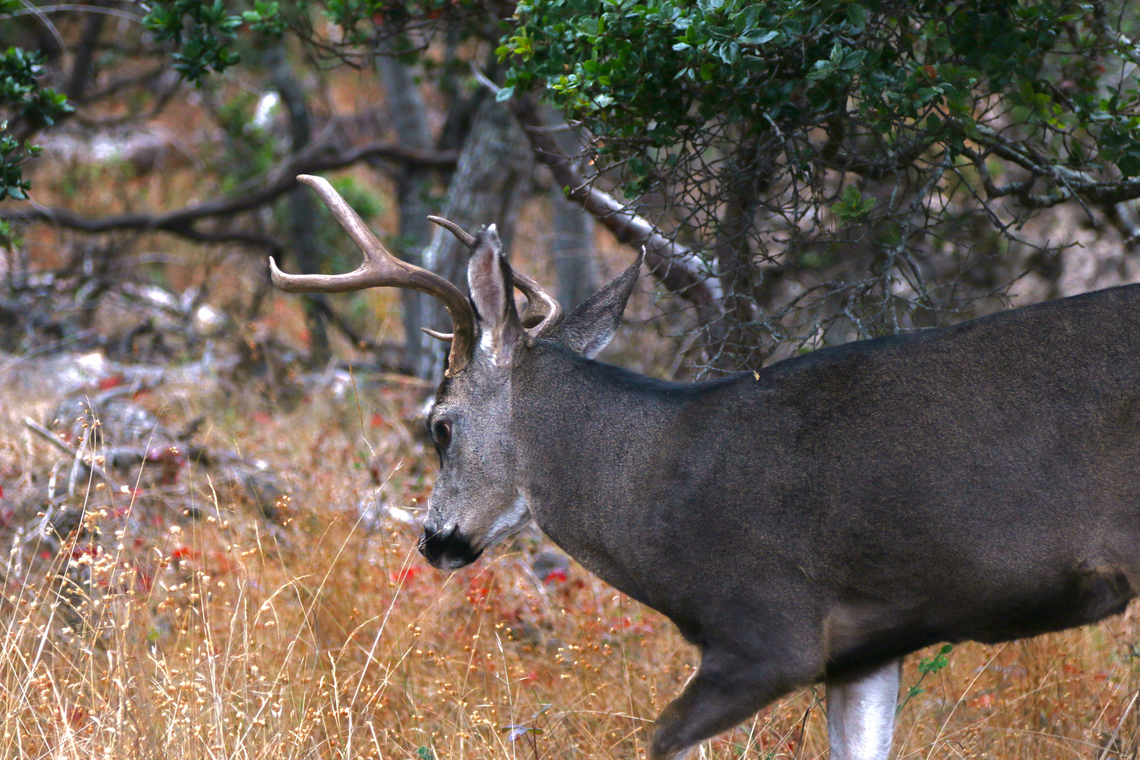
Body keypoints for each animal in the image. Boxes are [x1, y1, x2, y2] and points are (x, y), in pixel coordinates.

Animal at [270, 174, 1140, 760]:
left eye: (440, 427)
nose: (433, 540)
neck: (657, 481)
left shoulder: (767, 627)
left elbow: (661, 742)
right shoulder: (866, 648)